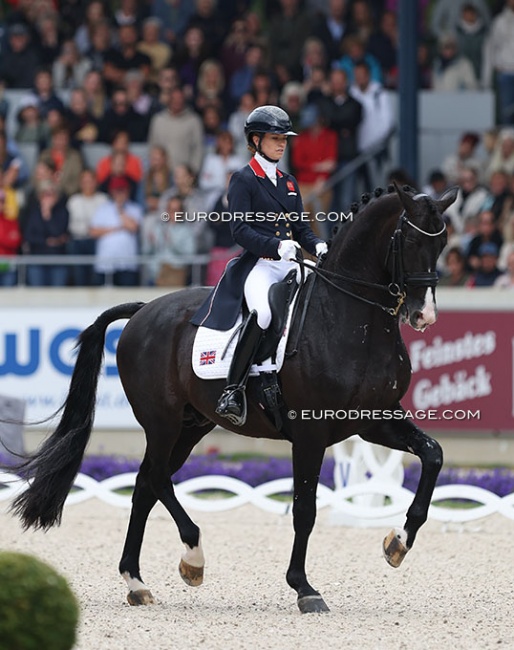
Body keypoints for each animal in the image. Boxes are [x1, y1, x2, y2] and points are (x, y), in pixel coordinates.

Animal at [8, 184, 456, 612]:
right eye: (410, 242)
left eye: (443, 244)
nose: (424, 316)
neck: (349, 317)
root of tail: (143, 310)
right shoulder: (310, 433)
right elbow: (305, 509)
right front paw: (304, 588)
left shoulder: (373, 420)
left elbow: (433, 455)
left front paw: (398, 542)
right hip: (162, 421)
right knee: (156, 477)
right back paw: (192, 559)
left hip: (191, 425)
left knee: (145, 484)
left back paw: (136, 582)